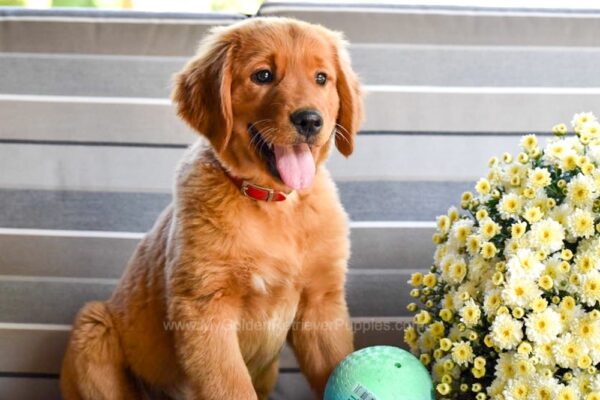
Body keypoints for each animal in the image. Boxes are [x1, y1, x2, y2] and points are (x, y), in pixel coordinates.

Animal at [59, 16, 360, 400]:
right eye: (263, 75)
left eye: (322, 78)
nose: (309, 120)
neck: (272, 202)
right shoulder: (203, 308)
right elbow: (232, 387)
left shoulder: (321, 304)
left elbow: (338, 363)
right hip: (93, 330)